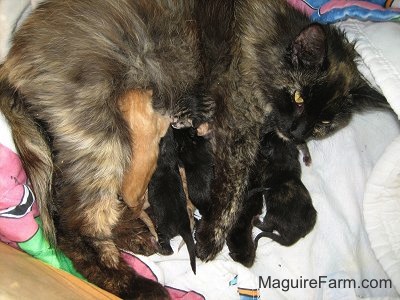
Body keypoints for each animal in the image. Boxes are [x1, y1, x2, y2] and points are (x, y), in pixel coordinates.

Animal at [195, 0, 390, 264]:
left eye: (324, 121)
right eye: (299, 98)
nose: (297, 132)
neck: (269, 42)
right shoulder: (239, 120)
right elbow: (234, 184)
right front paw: (212, 236)